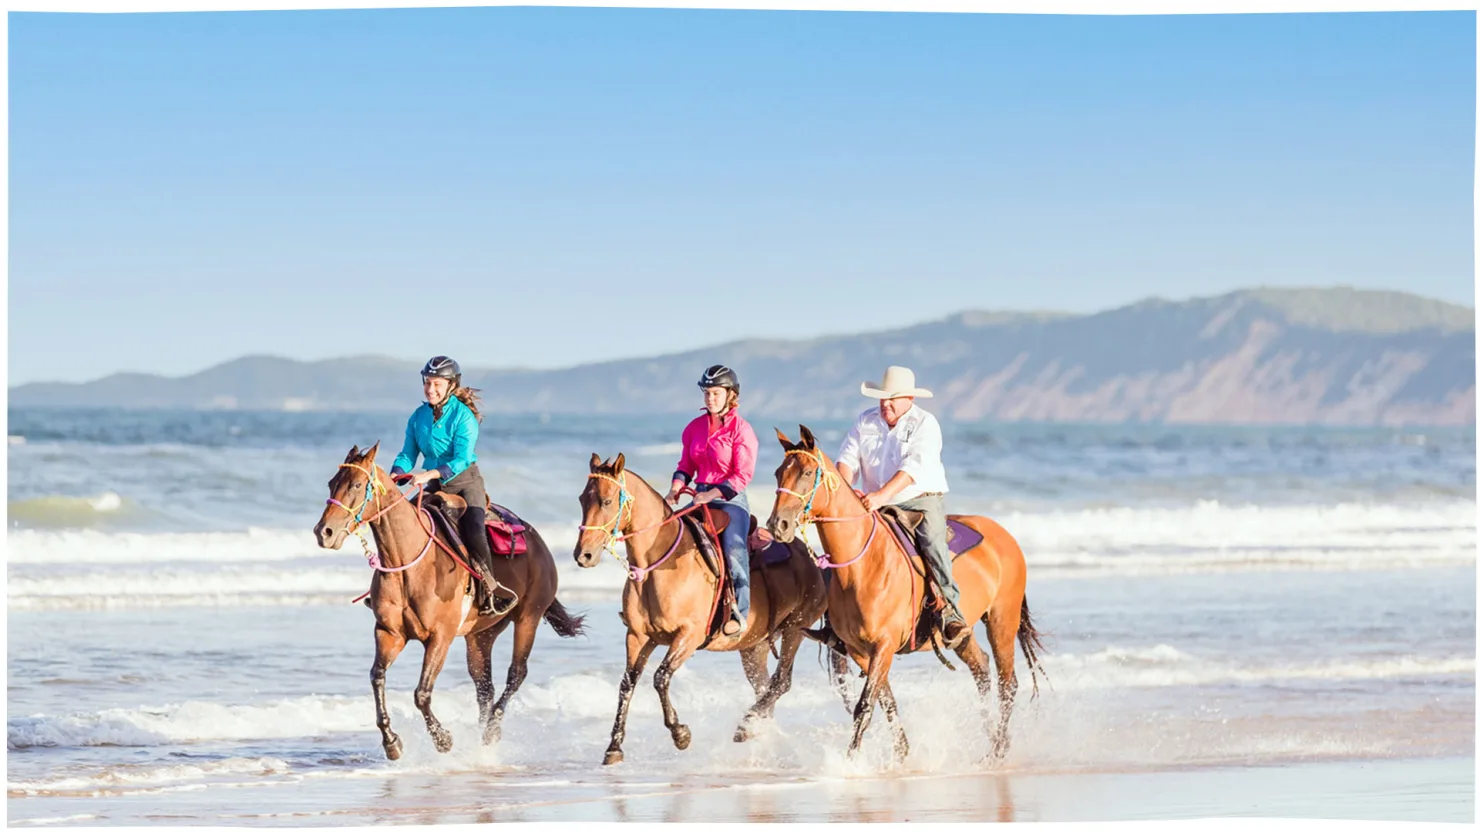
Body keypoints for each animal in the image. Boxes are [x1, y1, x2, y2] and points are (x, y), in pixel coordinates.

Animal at [315, 443, 586, 763]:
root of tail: (538, 541)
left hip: (528, 618)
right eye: (332, 483)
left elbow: (421, 693)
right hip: (481, 635)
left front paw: (443, 740)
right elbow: (377, 678)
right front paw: (392, 742)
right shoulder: (389, 634)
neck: (409, 563)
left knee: (516, 675)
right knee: (484, 686)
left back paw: (491, 731)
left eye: (357, 485)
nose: (324, 532)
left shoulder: (440, 637)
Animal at [574, 452, 834, 763]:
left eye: (606, 501)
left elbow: (660, 677)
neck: (660, 564)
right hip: (753, 646)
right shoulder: (638, 636)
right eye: (582, 499)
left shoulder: (689, 635)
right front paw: (614, 746)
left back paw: (745, 726)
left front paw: (680, 733)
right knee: (764, 686)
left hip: (796, 628)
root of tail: (815, 559)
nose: (583, 555)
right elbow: (627, 684)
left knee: (781, 681)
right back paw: (755, 729)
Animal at [769, 426, 1047, 763]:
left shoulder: (884, 646)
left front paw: (849, 764)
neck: (863, 566)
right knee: (980, 668)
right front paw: (902, 755)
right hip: (963, 632)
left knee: (1008, 684)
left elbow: (865, 706)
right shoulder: (860, 651)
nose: (778, 525)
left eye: (808, 473)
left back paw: (999, 750)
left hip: (1001, 619)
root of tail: (1005, 536)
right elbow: (885, 701)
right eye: (778, 473)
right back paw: (992, 741)